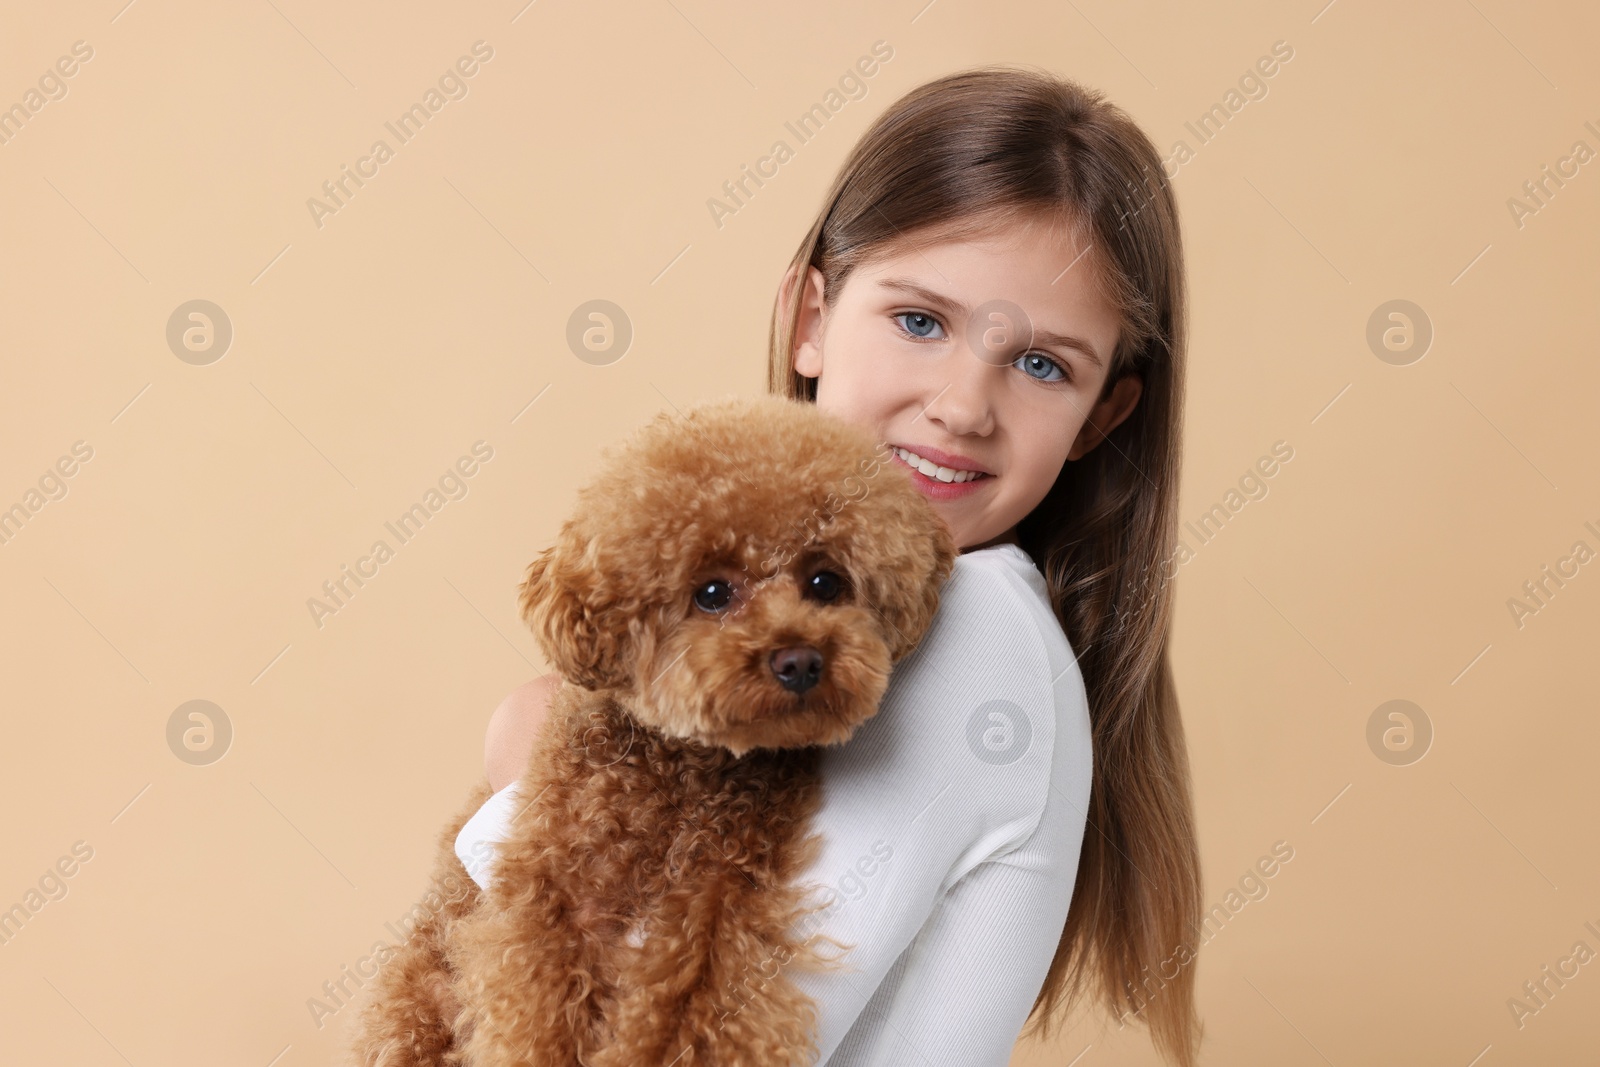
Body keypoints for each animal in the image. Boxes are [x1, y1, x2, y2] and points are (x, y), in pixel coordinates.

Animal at [347, 395, 947, 1067]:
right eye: (711, 593)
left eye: (826, 582)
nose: (799, 661)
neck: (679, 772)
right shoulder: (555, 898)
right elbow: (539, 1017)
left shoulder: (719, 899)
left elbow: (691, 1006)